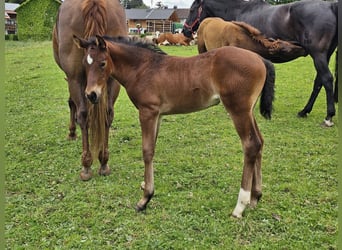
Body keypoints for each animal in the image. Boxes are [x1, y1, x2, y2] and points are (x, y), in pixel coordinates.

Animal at [52, 0, 127, 180]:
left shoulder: (73, 79)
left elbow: (73, 104)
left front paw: (72, 132)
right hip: (113, 80)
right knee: (107, 114)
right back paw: (104, 161)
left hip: (74, 78)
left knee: (83, 114)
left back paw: (86, 165)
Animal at [73, 34, 276, 217]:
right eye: (85, 64)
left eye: (102, 63)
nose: (91, 94)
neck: (143, 69)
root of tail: (260, 58)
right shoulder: (158, 115)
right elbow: (152, 148)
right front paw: (146, 188)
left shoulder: (148, 112)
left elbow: (147, 151)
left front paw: (145, 199)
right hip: (248, 111)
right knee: (260, 142)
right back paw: (255, 197)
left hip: (238, 109)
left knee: (250, 145)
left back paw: (239, 207)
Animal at [183, 0, 338, 127]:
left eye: (191, 9)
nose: (185, 31)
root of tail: (331, 6)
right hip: (324, 56)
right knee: (319, 81)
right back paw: (304, 111)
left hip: (318, 55)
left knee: (327, 79)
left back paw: (328, 117)